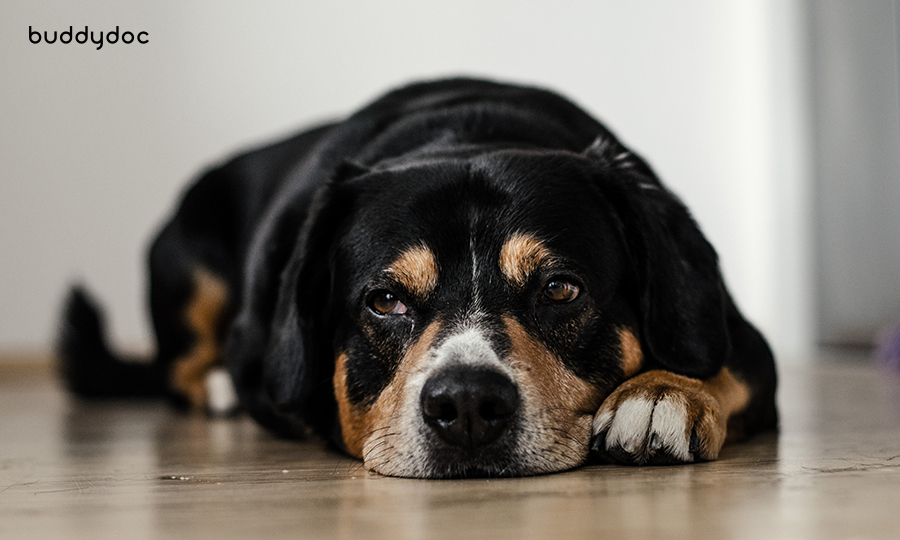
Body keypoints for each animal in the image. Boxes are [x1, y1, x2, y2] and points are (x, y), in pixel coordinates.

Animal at [59, 77, 776, 476]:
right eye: (385, 300)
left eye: (559, 289)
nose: (467, 405)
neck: (467, 134)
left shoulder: (740, 334)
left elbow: (724, 364)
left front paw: (660, 393)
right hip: (187, 266)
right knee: (178, 366)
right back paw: (217, 388)